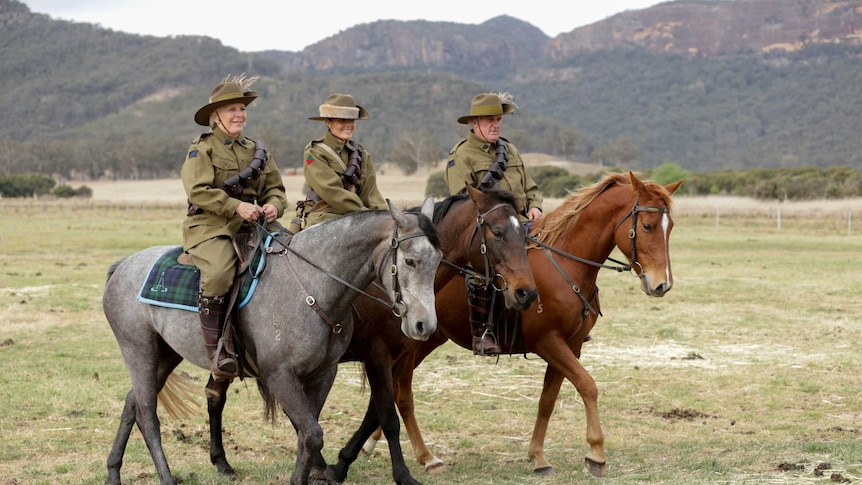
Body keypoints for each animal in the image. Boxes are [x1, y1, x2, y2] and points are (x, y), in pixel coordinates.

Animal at [99, 198, 446, 484]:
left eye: (438, 260)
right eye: (411, 261)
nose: (424, 325)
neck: (312, 286)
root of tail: (123, 265)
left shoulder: (324, 374)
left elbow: (307, 433)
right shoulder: (280, 376)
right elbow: (311, 433)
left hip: (167, 353)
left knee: (132, 403)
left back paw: (114, 472)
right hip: (139, 350)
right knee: (147, 414)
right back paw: (167, 478)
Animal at [362, 170, 684, 476]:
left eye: (670, 227)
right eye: (647, 226)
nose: (662, 284)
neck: (566, 265)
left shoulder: (571, 346)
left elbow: (548, 400)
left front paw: (538, 457)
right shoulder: (549, 342)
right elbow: (588, 385)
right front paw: (596, 454)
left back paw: (375, 443)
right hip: (415, 343)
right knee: (402, 393)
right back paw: (425, 457)